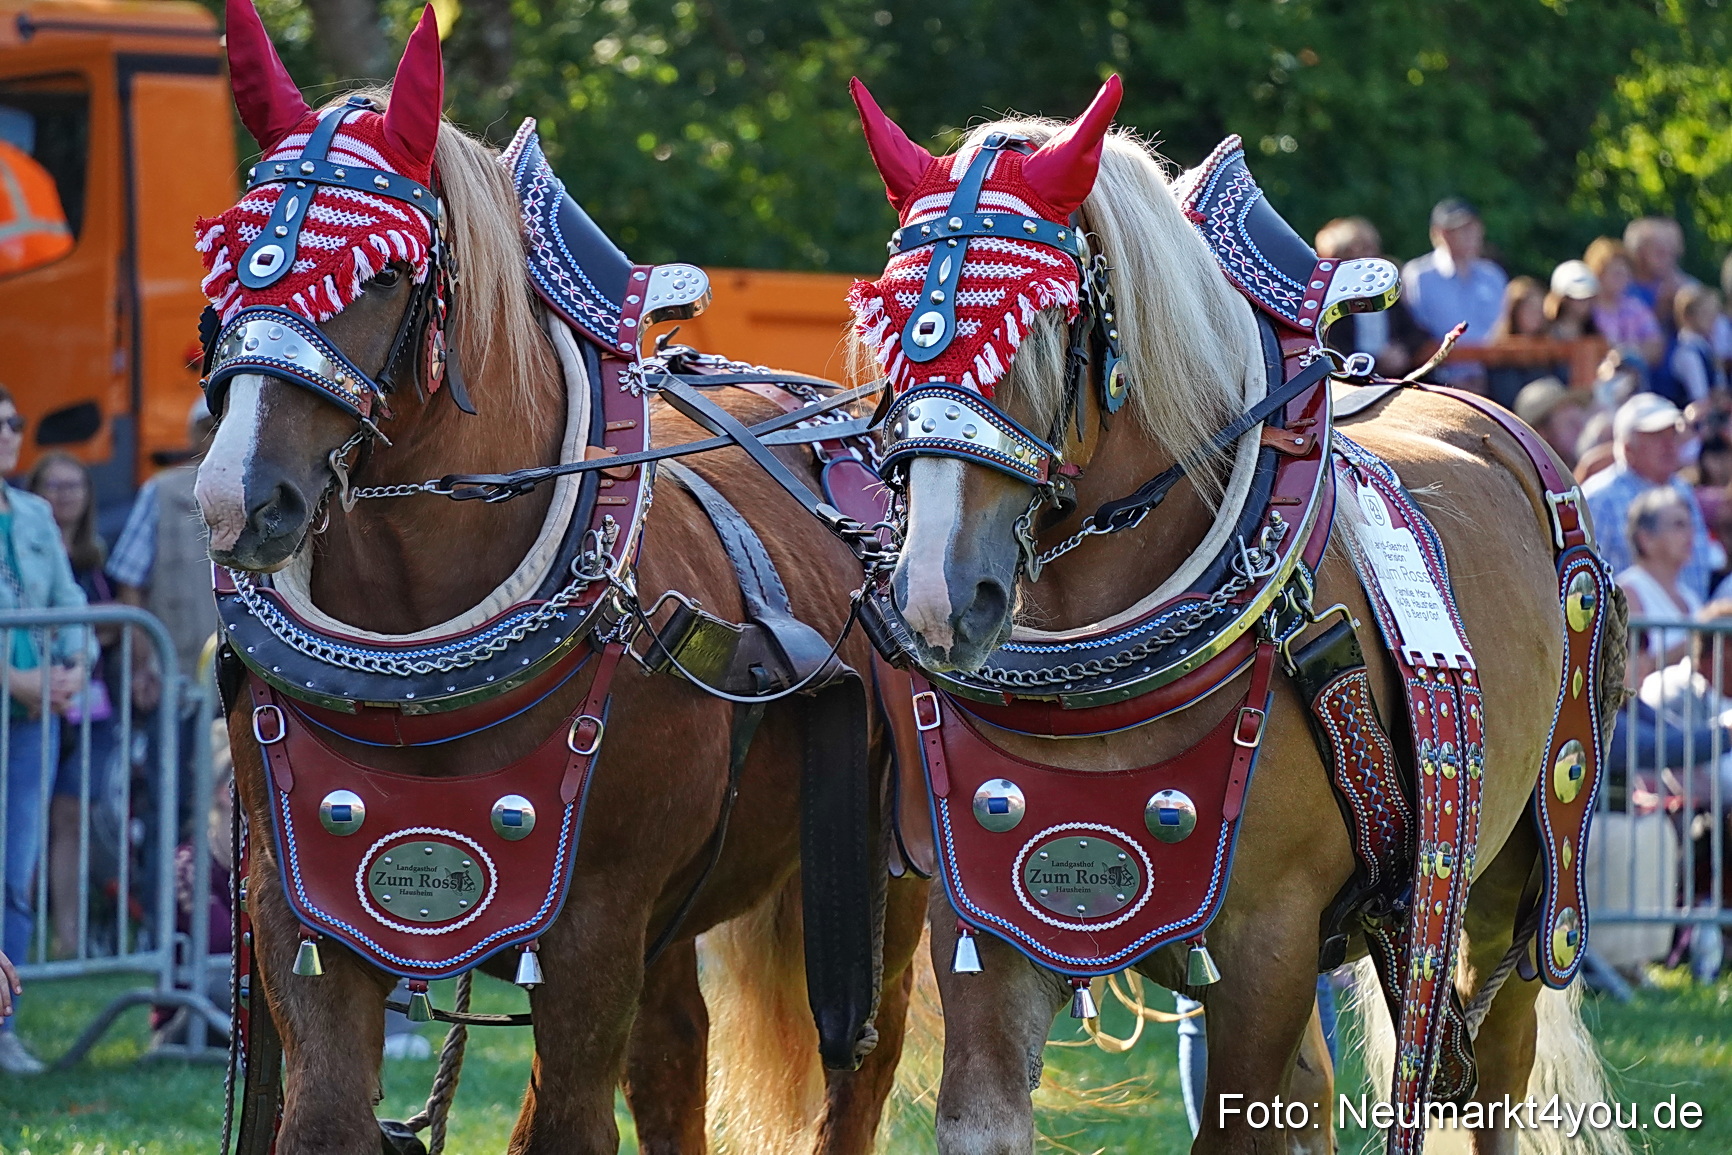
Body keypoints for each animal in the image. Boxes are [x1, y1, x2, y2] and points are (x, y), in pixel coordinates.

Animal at [193, 5, 924, 1152]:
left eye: (385, 273)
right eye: (226, 261)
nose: (237, 498)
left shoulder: (592, 926)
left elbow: (567, 1122)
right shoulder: (301, 905)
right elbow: (323, 1118)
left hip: (878, 887)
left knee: (859, 1066)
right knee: (673, 1060)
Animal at [845, 76, 1629, 1155]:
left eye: (1038, 326)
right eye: (889, 328)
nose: (936, 594)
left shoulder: (1269, 946)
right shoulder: (986, 924)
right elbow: (984, 1115)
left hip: (1510, 885)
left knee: (1490, 1084)